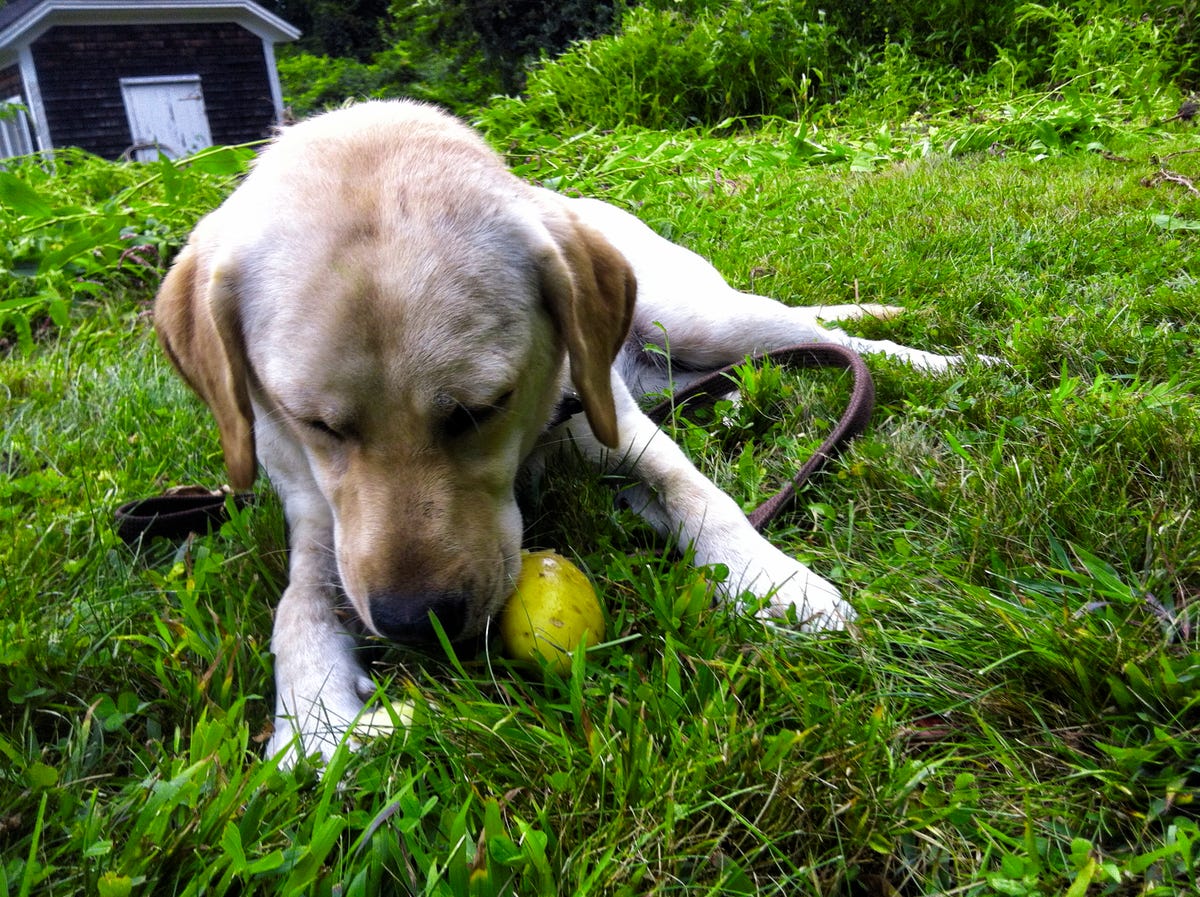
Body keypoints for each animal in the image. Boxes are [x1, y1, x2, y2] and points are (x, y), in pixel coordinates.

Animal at [157, 100, 964, 762]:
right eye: (316, 422)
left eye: (484, 406)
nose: (418, 624)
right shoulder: (316, 513)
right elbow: (298, 603)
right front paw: (313, 710)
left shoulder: (612, 419)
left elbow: (696, 490)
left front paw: (770, 578)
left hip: (702, 318)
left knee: (833, 337)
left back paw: (948, 361)